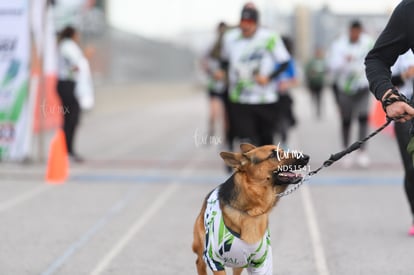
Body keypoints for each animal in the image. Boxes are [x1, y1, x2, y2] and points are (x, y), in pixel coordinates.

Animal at [192, 143, 308, 274]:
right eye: (273, 154)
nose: (306, 157)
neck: (252, 212)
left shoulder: (260, 264)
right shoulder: (214, 260)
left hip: (240, 263)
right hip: (203, 249)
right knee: (199, 263)